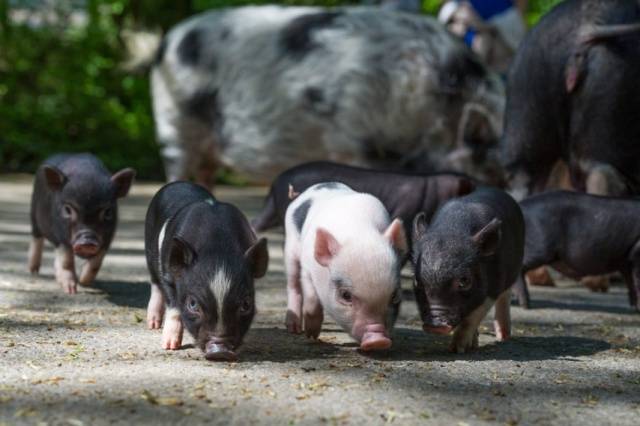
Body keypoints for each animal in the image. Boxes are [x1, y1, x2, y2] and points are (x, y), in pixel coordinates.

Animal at [29, 155, 137, 294]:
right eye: (68, 210)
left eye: (108, 212)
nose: (87, 240)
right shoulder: (60, 237)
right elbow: (67, 261)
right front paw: (71, 291)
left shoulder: (107, 240)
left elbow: (96, 263)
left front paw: (83, 282)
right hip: (34, 215)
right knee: (36, 239)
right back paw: (33, 271)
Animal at [144, 181, 268, 362]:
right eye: (192, 304)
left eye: (246, 304)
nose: (220, 351)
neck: (217, 249)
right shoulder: (168, 273)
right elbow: (174, 306)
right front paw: (170, 346)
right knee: (155, 284)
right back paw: (153, 325)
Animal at [412, 187, 524, 352]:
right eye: (417, 281)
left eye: (464, 281)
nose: (435, 326)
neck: (453, 228)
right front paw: (470, 346)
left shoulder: (493, 287)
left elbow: (471, 318)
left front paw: (457, 349)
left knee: (505, 296)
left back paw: (503, 338)